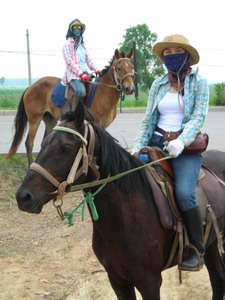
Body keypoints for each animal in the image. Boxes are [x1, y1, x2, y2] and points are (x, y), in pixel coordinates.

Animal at [6, 49, 134, 166]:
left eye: (132, 67)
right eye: (119, 68)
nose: (130, 88)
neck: (102, 91)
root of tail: (30, 87)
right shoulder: (96, 124)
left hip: (50, 120)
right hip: (34, 119)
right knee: (29, 143)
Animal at [16, 102, 225, 298]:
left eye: (66, 147)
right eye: (43, 143)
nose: (23, 196)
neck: (126, 217)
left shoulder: (149, 281)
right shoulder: (116, 279)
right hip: (211, 244)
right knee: (217, 279)